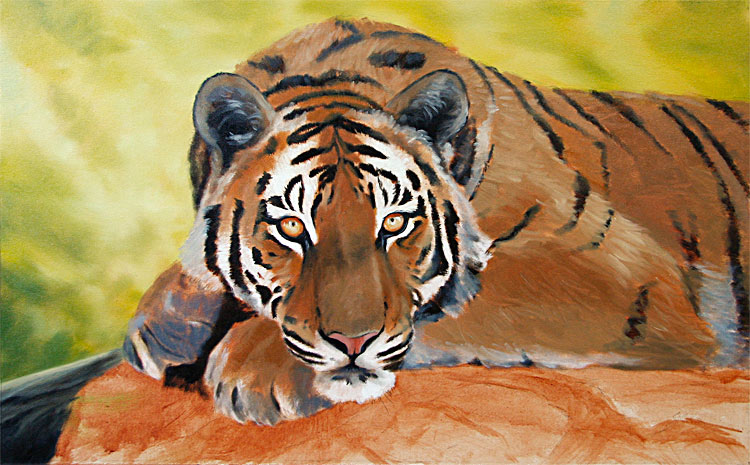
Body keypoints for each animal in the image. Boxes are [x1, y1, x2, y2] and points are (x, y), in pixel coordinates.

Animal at [122, 18, 749, 425]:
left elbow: (465, 300)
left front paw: (258, 366)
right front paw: (168, 321)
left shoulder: (621, 274)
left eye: (396, 223)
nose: (353, 341)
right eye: (293, 228)